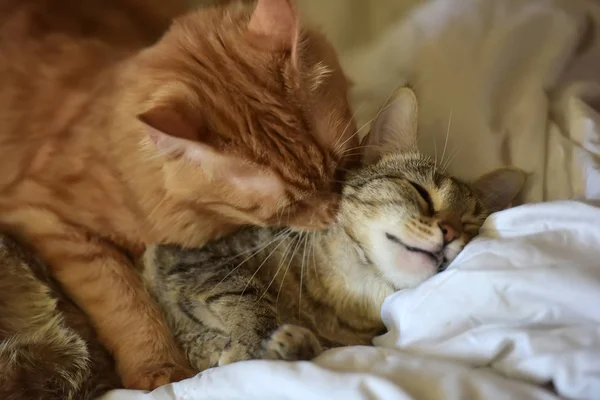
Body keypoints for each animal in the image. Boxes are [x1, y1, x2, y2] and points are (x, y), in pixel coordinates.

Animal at [0, 0, 356, 390]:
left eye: (340, 168)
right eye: (291, 206)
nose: (334, 213)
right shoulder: (46, 219)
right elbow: (125, 299)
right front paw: (160, 367)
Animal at [142, 88, 524, 372]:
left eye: (470, 225)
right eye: (420, 192)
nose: (450, 231)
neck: (347, 294)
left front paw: (290, 345)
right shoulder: (189, 255)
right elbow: (243, 292)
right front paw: (252, 342)